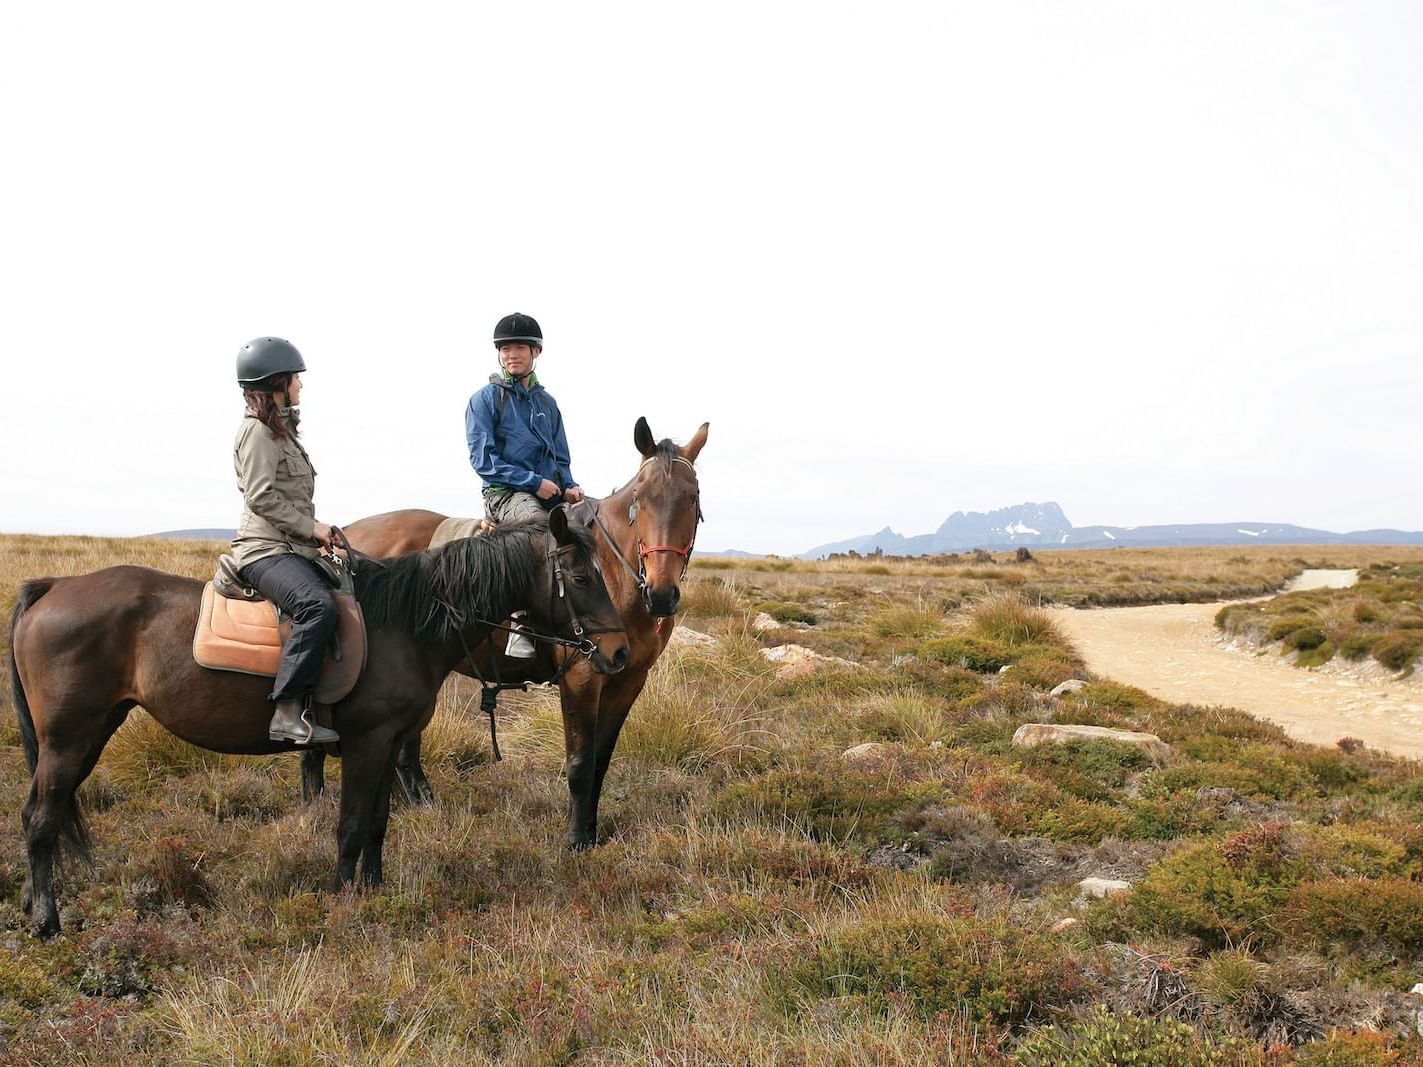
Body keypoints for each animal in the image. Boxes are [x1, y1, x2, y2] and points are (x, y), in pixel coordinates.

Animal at [8, 506, 626, 933]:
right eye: (580, 576)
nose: (619, 654)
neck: (405, 622)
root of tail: (54, 587)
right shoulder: (367, 744)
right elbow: (350, 826)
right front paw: (339, 901)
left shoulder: (390, 742)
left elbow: (377, 824)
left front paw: (374, 890)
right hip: (68, 738)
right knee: (40, 819)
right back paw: (46, 921)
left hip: (90, 733)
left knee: (44, 813)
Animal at [311, 415, 711, 853]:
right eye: (640, 497)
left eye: (692, 497)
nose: (661, 593)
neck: (613, 574)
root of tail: (344, 534)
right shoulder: (582, 676)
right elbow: (579, 762)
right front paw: (575, 838)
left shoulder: (629, 679)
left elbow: (601, 761)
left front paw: (591, 831)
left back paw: (419, 800)